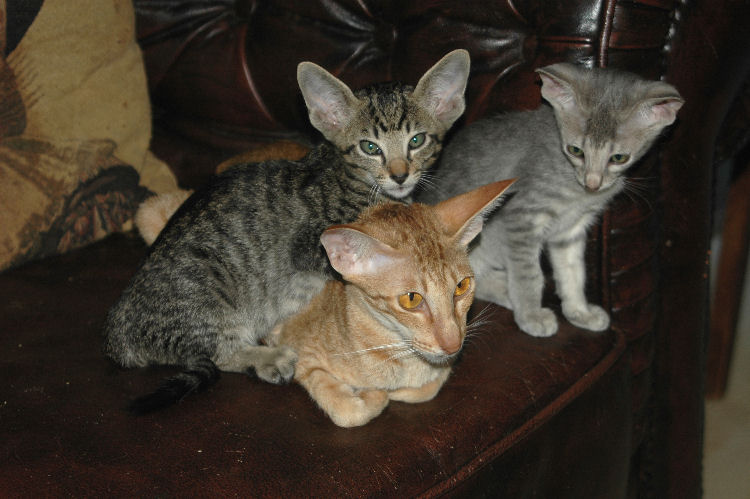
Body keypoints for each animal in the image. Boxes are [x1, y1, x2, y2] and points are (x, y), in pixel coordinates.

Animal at [103, 49, 471, 413]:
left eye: (417, 141)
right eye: (370, 148)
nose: (399, 175)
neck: (346, 175)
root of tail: (117, 335)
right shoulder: (312, 245)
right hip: (209, 293)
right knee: (219, 352)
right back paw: (268, 358)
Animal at [268, 179, 515, 427]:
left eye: (462, 286)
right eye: (411, 299)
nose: (453, 345)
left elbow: (430, 386)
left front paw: (396, 391)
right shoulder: (299, 351)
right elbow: (347, 411)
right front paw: (374, 394)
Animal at [418, 63, 683, 337]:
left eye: (619, 157)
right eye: (575, 150)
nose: (592, 183)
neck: (574, 188)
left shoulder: (571, 231)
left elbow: (573, 273)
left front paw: (579, 311)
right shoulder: (522, 217)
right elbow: (529, 274)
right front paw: (531, 315)